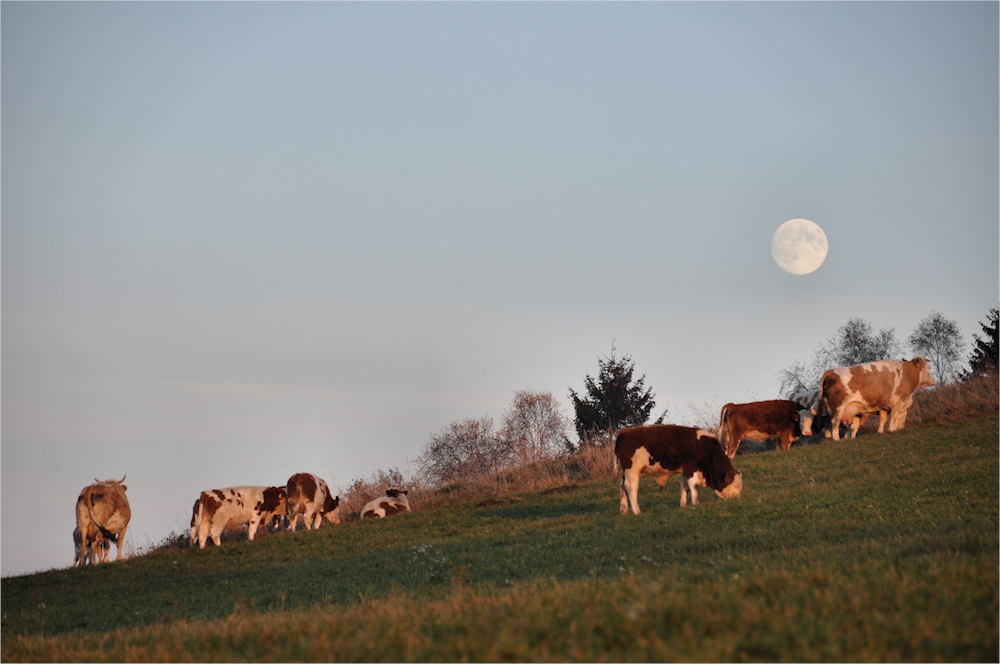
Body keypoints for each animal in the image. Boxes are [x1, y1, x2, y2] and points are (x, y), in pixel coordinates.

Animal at [612, 426, 748, 512]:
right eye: (736, 486)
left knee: (622, 486)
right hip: (632, 470)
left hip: (630, 472)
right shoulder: (691, 467)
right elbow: (693, 486)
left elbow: (685, 486)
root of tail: (624, 432)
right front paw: (695, 503)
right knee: (631, 488)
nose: (738, 499)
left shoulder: (685, 470)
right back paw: (637, 511)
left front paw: (683, 505)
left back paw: (624, 510)